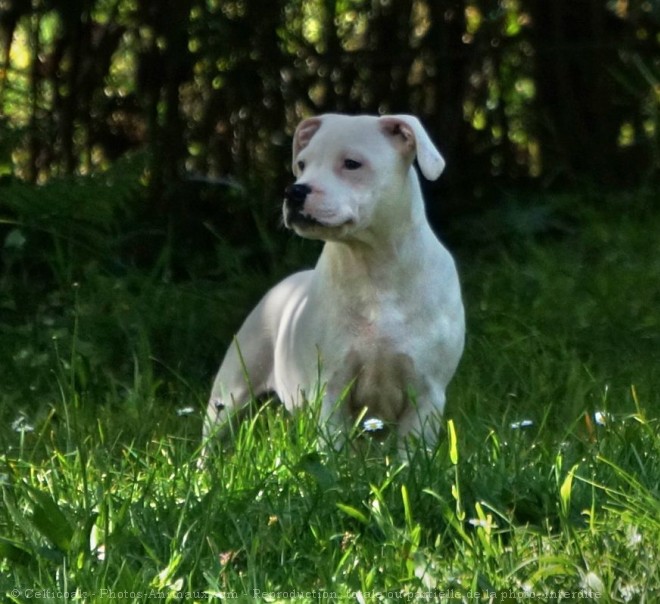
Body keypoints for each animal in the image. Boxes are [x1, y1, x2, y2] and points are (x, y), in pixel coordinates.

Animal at [204, 113, 466, 446]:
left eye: (352, 164)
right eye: (302, 164)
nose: (294, 191)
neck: (373, 266)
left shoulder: (425, 394)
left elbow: (412, 449)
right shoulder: (332, 389)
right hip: (232, 389)